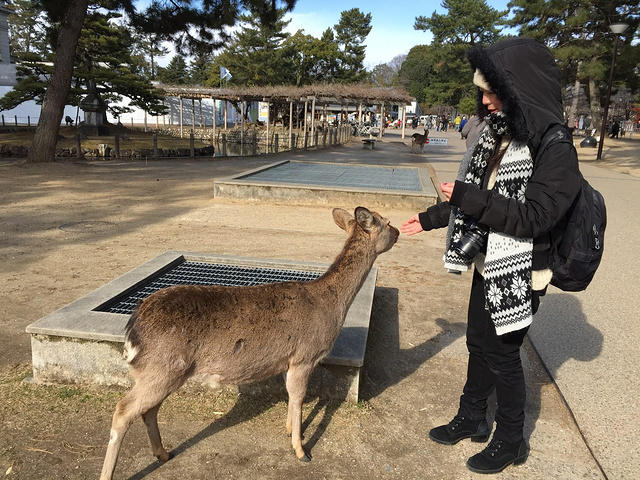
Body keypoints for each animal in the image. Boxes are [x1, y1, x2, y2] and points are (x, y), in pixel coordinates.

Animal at [99, 206, 400, 480]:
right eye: (387, 222)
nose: (398, 232)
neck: (331, 306)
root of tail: (132, 328)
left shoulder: (288, 360)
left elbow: (290, 395)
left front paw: (288, 430)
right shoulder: (304, 356)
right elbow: (299, 396)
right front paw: (301, 451)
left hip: (162, 372)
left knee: (148, 409)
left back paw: (163, 453)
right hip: (161, 368)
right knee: (123, 410)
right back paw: (110, 473)